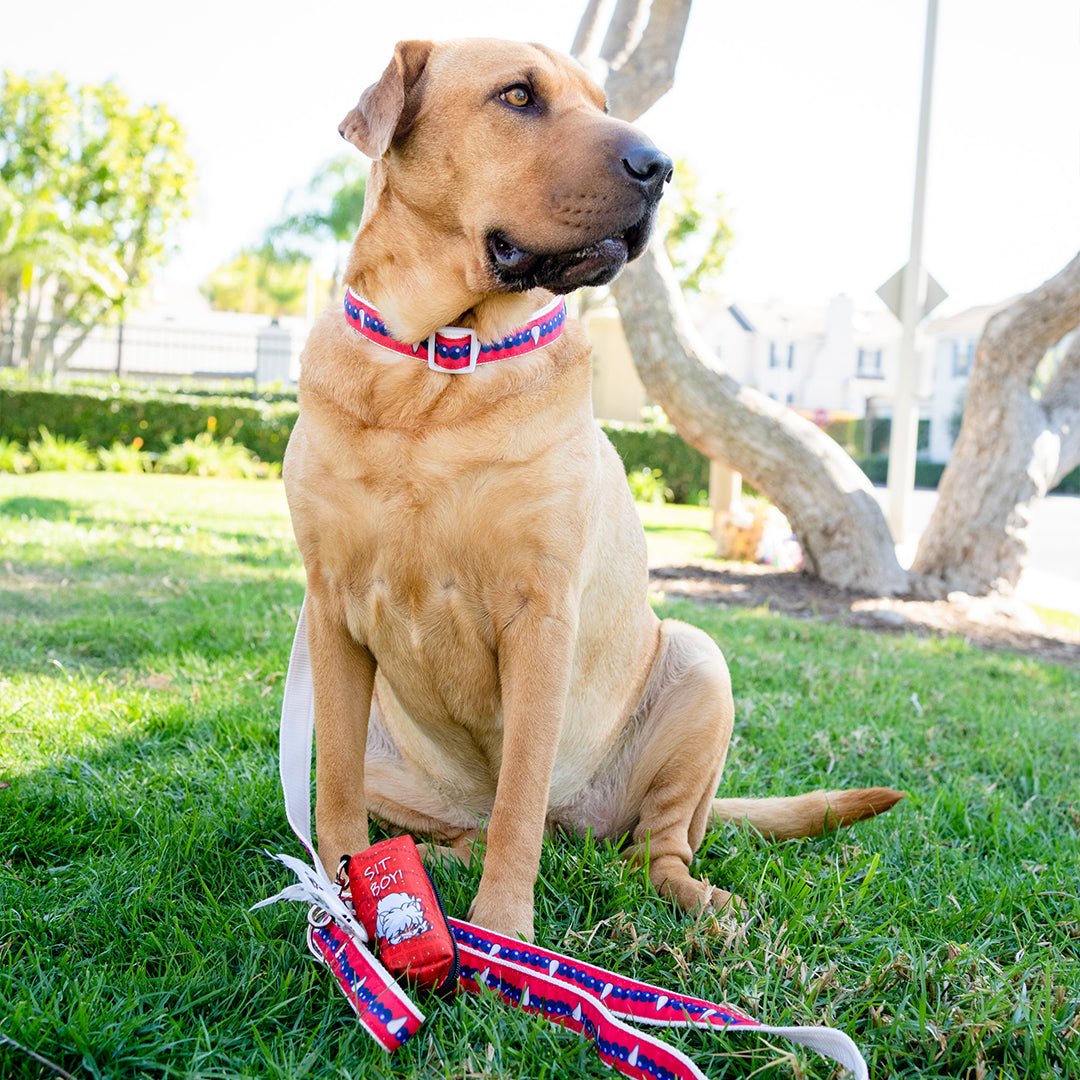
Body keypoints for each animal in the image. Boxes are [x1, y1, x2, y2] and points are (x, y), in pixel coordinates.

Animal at [280, 38, 902, 941]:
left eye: (603, 103)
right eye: (517, 96)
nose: (660, 166)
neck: (438, 363)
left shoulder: (540, 618)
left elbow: (518, 800)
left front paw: (504, 933)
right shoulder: (330, 613)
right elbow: (333, 789)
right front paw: (341, 902)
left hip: (698, 665)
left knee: (647, 846)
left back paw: (696, 903)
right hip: (392, 753)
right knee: (461, 819)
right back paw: (437, 858)